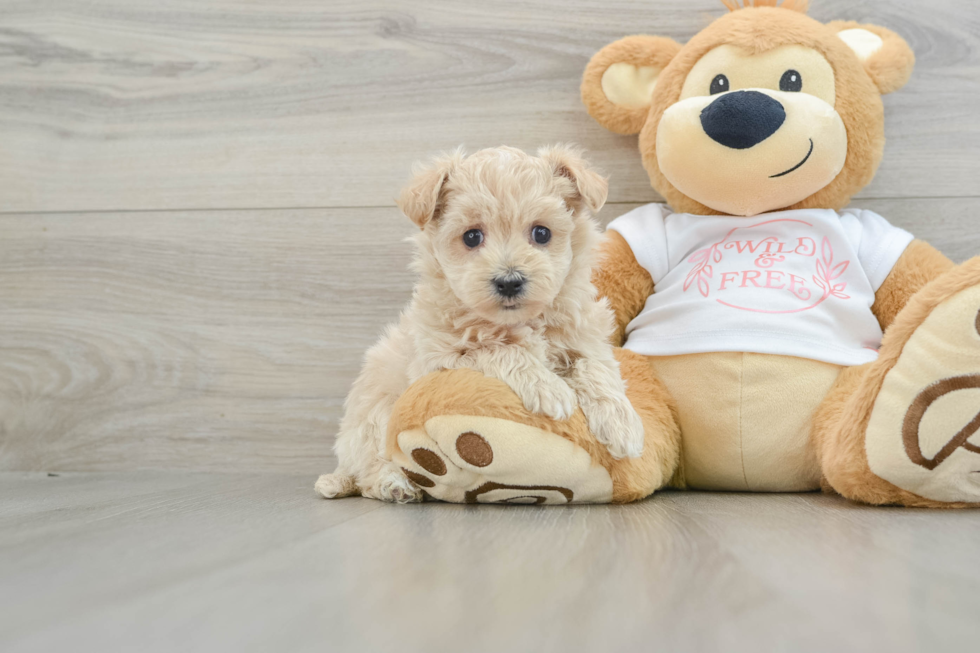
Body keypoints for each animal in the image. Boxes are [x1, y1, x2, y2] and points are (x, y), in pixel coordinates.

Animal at [318, 145, 648, 502]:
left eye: (542, 233)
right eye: (472, 237)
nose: (509, 281)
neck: (519, 320)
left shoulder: (584, 337)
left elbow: (596, 367)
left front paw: (622, 424)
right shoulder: (440, 361)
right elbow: (497, 349)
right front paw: (548, 389)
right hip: (375, 417)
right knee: (370, 470)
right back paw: (394, 484)